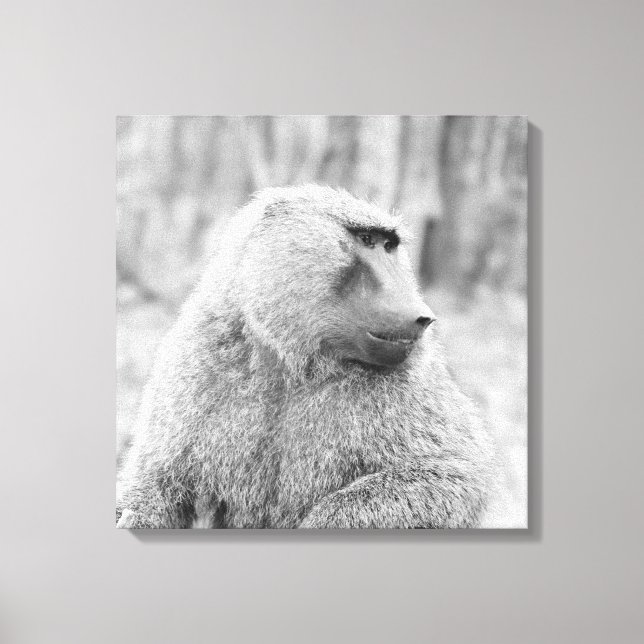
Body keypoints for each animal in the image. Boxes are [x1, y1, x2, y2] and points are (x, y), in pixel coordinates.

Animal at [116, 184, 492, 529]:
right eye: (366, 239)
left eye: (389, 246)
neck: (290, 361)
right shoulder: (196, 356)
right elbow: (157, 482)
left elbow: (452, 478)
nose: (422, 316)